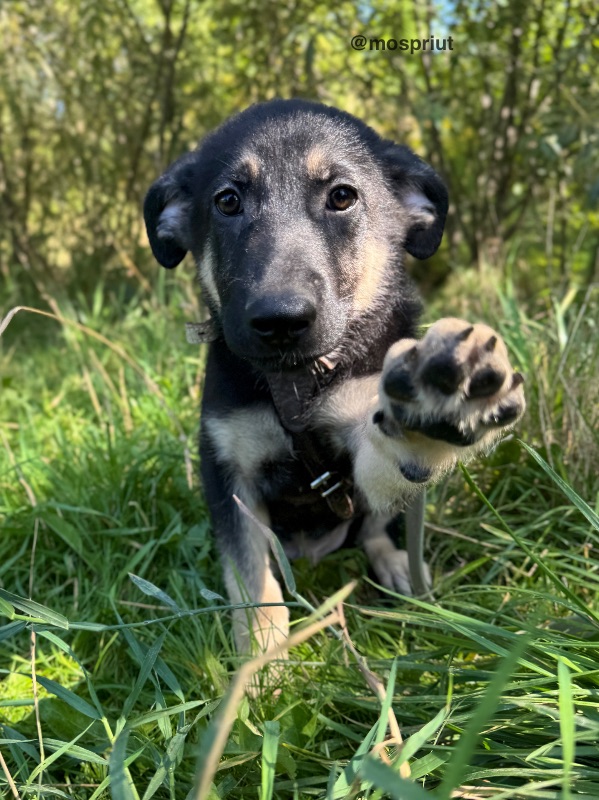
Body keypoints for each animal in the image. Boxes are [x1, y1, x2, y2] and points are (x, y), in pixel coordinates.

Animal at [144, 100, 524, 660]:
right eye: (228, 201)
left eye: (342, 196)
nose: (280, 321)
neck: (294, 384)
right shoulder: (229, 474)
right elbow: (253, 578)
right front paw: (262, 661)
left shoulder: (357, 431)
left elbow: (389, 451)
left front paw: (438, 407)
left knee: (376, 527)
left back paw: (398, 566)